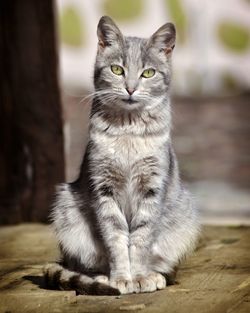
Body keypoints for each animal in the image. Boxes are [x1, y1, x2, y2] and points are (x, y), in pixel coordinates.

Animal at [44, 15, 200, 294]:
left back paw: (154, 275)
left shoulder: (152, 189)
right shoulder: (103, 189)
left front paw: (138, 276)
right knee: (82, 265)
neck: (128, 132)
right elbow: (115, 238)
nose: (130, 89)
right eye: (117, 70)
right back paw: (102, 278)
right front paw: (121, 278)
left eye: (148, 73)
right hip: (66, 211)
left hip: (185, 218)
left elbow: (140, 238)